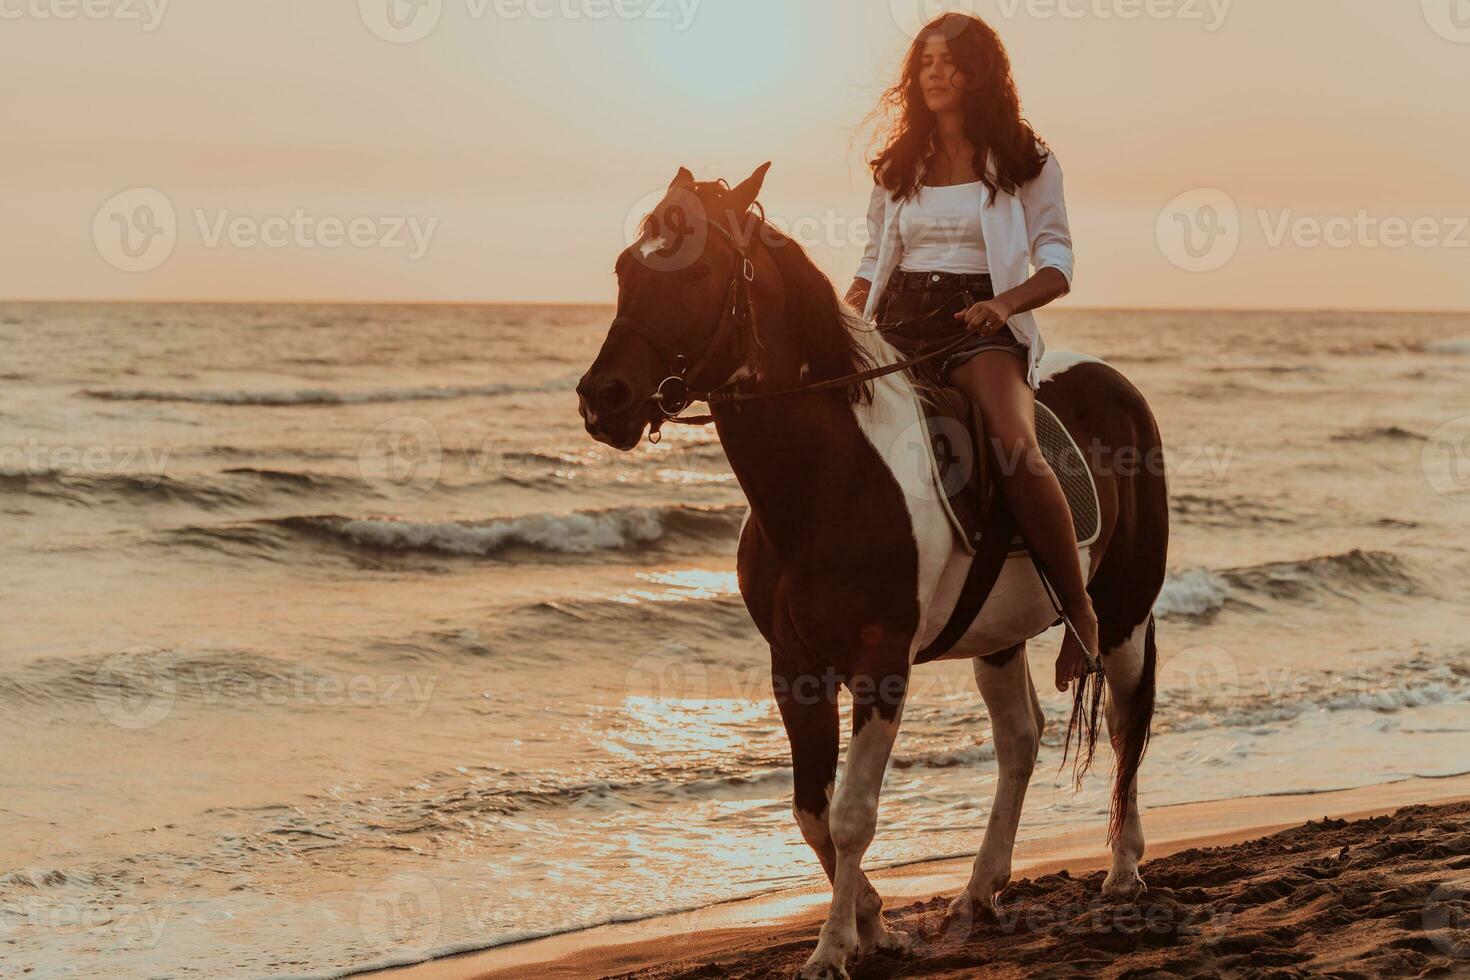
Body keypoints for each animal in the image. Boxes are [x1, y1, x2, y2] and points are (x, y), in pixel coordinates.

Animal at [579, 163, 1164, 980]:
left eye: (695, 272)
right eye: (625, 269)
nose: (603, 400)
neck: (829, 479)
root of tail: (1120, 389)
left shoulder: (882, 664)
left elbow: (854, 814)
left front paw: (832, 950)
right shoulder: (793, 667)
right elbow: (811, 812)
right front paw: (877, 924)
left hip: (1124, 612)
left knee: (1123, 719)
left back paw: (1122, 870)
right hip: (999, 637)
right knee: (1020, 739)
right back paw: (979, 892)